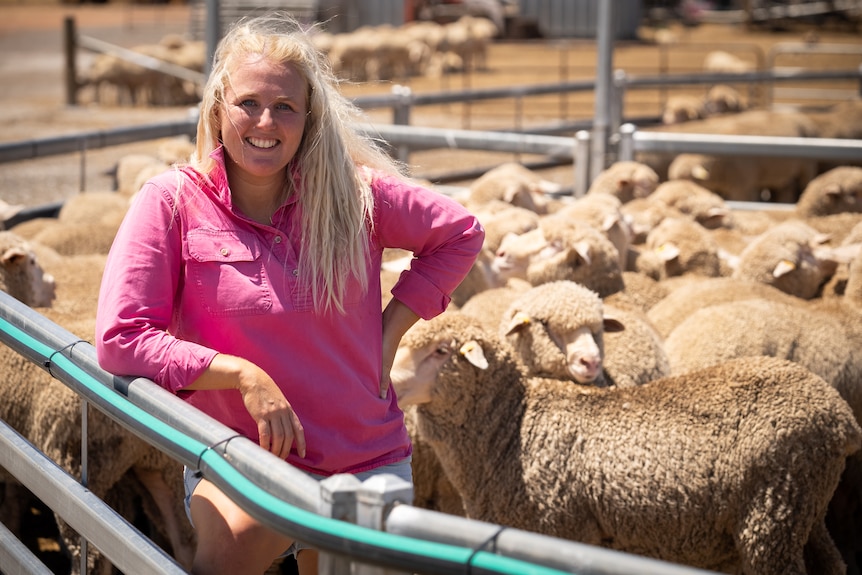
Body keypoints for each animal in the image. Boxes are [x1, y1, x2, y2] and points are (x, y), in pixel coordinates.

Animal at [394, 310, 862, 575]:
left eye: (441, 351)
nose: (390, 383)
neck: (512, 430)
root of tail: (841, 416)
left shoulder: (562, 531)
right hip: (803, 508)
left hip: (770, 514)